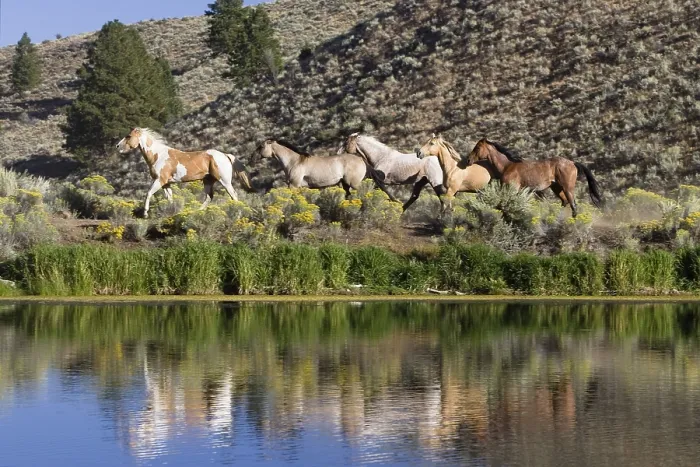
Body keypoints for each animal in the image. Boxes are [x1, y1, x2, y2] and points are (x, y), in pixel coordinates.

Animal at [116, 127, 252, 218]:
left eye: (128, 136)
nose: (117, 147)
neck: (158, 156)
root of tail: (225, 155)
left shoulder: (159, 180)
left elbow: (148, 193)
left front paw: (145, 214)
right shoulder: (166, 183)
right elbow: (169, 198)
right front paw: (172, 212)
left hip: (224, 181)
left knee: (234, 196)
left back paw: (237, 215)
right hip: (208, 181)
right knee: (209, 197)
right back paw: (197, 212)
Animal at [466, 139, 603, 217]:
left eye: (477, 148)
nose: (468, 160)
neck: (507, 166)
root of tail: (573, 163)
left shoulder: (512, 189)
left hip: (567, 187)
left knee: (573, 205)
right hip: (557, 188)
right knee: (565, 202)